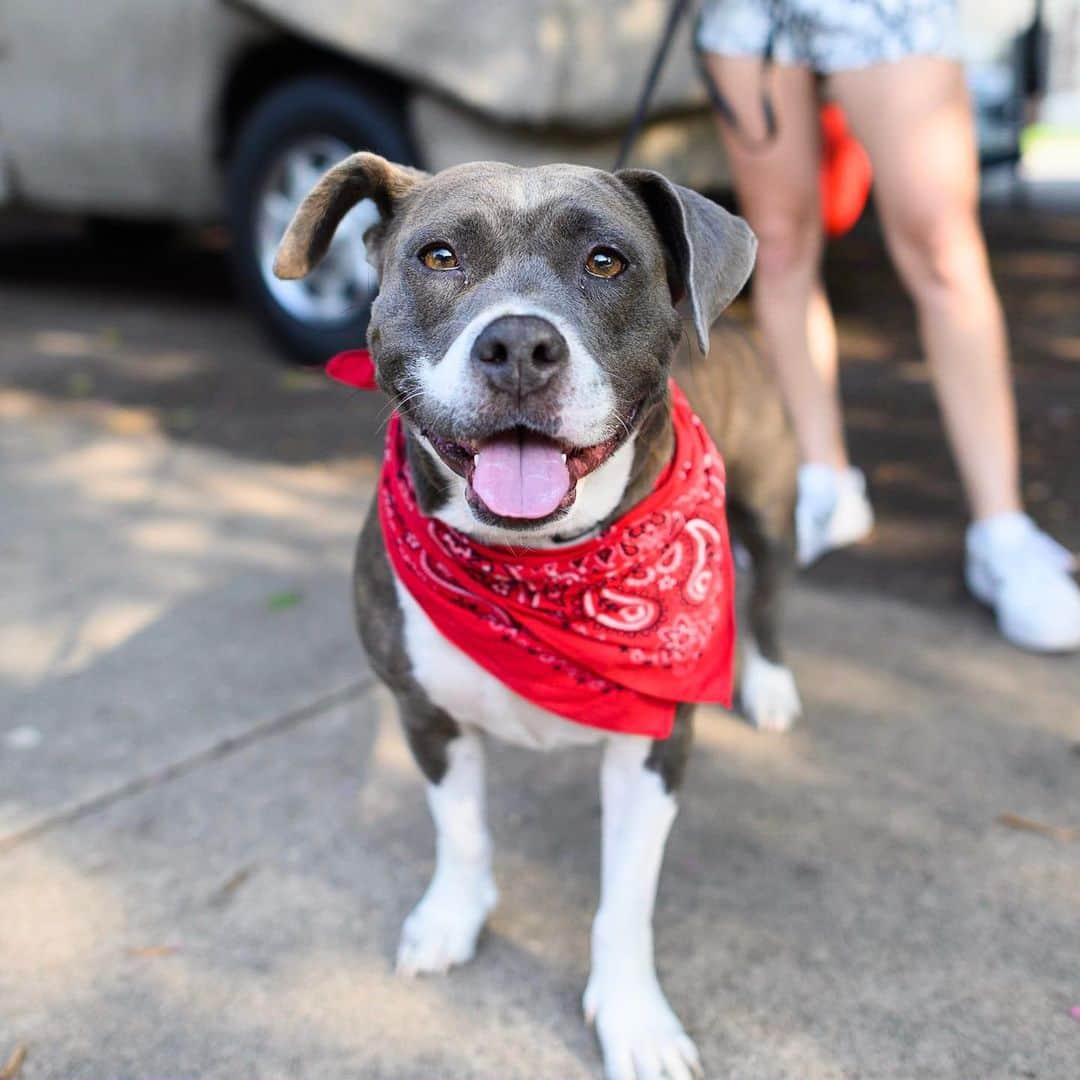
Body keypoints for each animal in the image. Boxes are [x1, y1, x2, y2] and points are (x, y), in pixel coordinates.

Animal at [276, 154, 803, 1080]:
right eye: (439, 256)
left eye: (606, 261)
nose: (519, 344)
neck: (534, 565)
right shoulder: (425, 713)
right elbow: (461, 833)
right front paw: (453, 916)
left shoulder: (656, 744)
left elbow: (625, 898)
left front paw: (633, 1018)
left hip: (768, 503)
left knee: (770, 583)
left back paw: (769, 684)